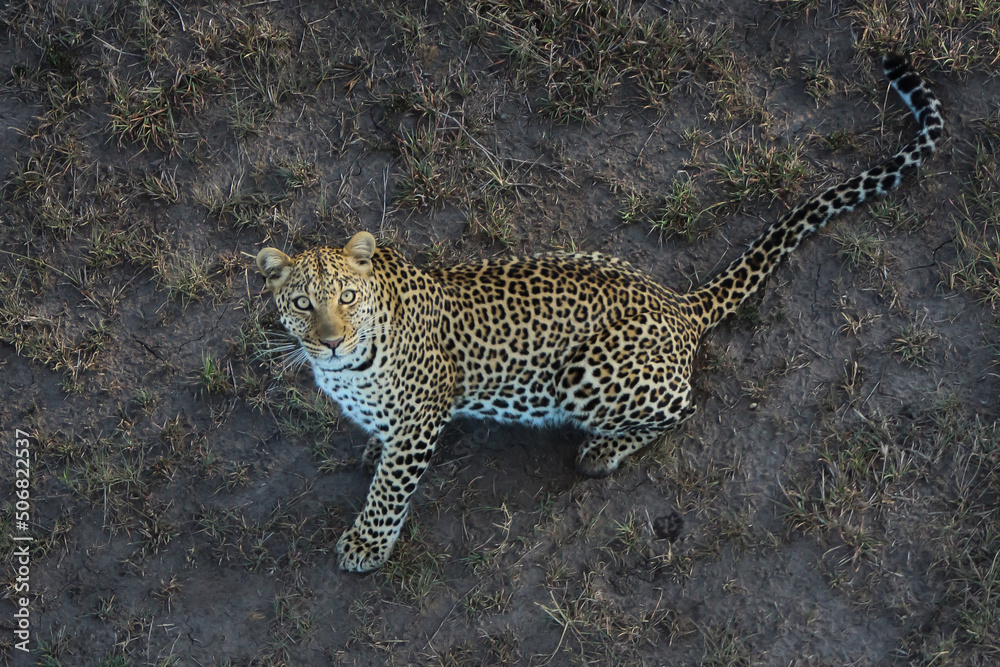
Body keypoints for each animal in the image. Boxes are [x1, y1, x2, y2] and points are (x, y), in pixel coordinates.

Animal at [256, 55, 942, 573]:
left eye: (347, 298)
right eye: (303, 303)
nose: (333, 342)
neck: (347, 368)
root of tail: (677, 303)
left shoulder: (422, 417)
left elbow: (391, 487)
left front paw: (366, 543)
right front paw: (369, 448)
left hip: (585, 376)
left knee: (684, 406)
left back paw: (602, 451)